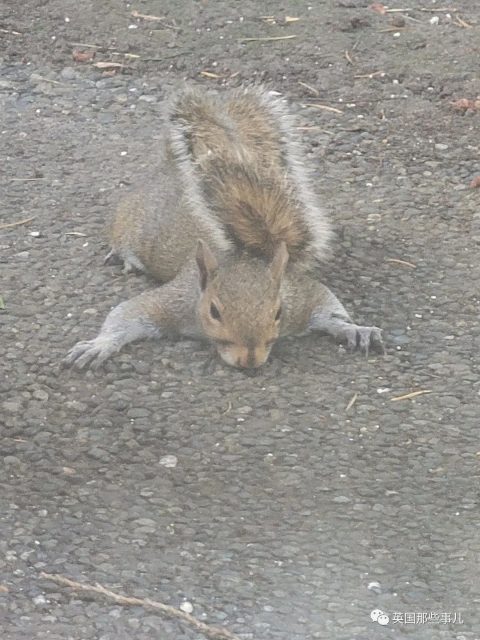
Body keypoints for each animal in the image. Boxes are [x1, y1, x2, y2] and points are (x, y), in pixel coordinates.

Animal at [65, 85, 384, 370]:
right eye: (214, 311)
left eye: (278, 312)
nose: (250, 361)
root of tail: (171, 165)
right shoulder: (174, 302)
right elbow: (127, 314)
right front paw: (99, 345)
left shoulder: (298, 296)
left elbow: (328, 307)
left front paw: (356, 329)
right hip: (132, 220)